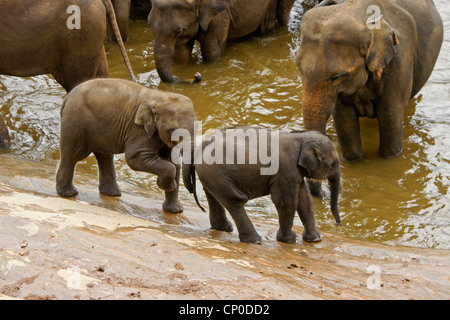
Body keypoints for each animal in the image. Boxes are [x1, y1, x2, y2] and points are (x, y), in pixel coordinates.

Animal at [56, 78, 197, 214]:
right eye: (172, 131)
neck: (159, 96)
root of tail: (67, 98)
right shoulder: (139, 131)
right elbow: (134, 158)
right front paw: (166, 185)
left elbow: (174, 163)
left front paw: (175, 210)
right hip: (75, 122)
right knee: (72, 155)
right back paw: (69, 194)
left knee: (104, 156)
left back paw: (112, 193)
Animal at [149, 0, 298, 83]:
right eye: (149, 24)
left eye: (179, 31)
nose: (196, 75)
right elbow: (181, 55)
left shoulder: (219, 16)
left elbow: (212, 53)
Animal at [183, 127, 342, 242]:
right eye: (335, 163)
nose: (338, 224)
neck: (299, 137)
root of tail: (199, 148)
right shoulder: (285, 170)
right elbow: (286, 201)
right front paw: (289, 240)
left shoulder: (294, 173)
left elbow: (305, 200)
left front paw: (315, 239)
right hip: (217, 174)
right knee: (235, 201)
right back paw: (254, 240)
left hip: (210, 175)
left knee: (213, 196)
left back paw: (223, 228)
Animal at [296, 0, 442, 161]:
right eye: (299, 70)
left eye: (337, 76)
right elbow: (343, 119)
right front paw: (355, 159)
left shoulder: (399, 63)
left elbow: (390, 116)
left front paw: (389, 159)